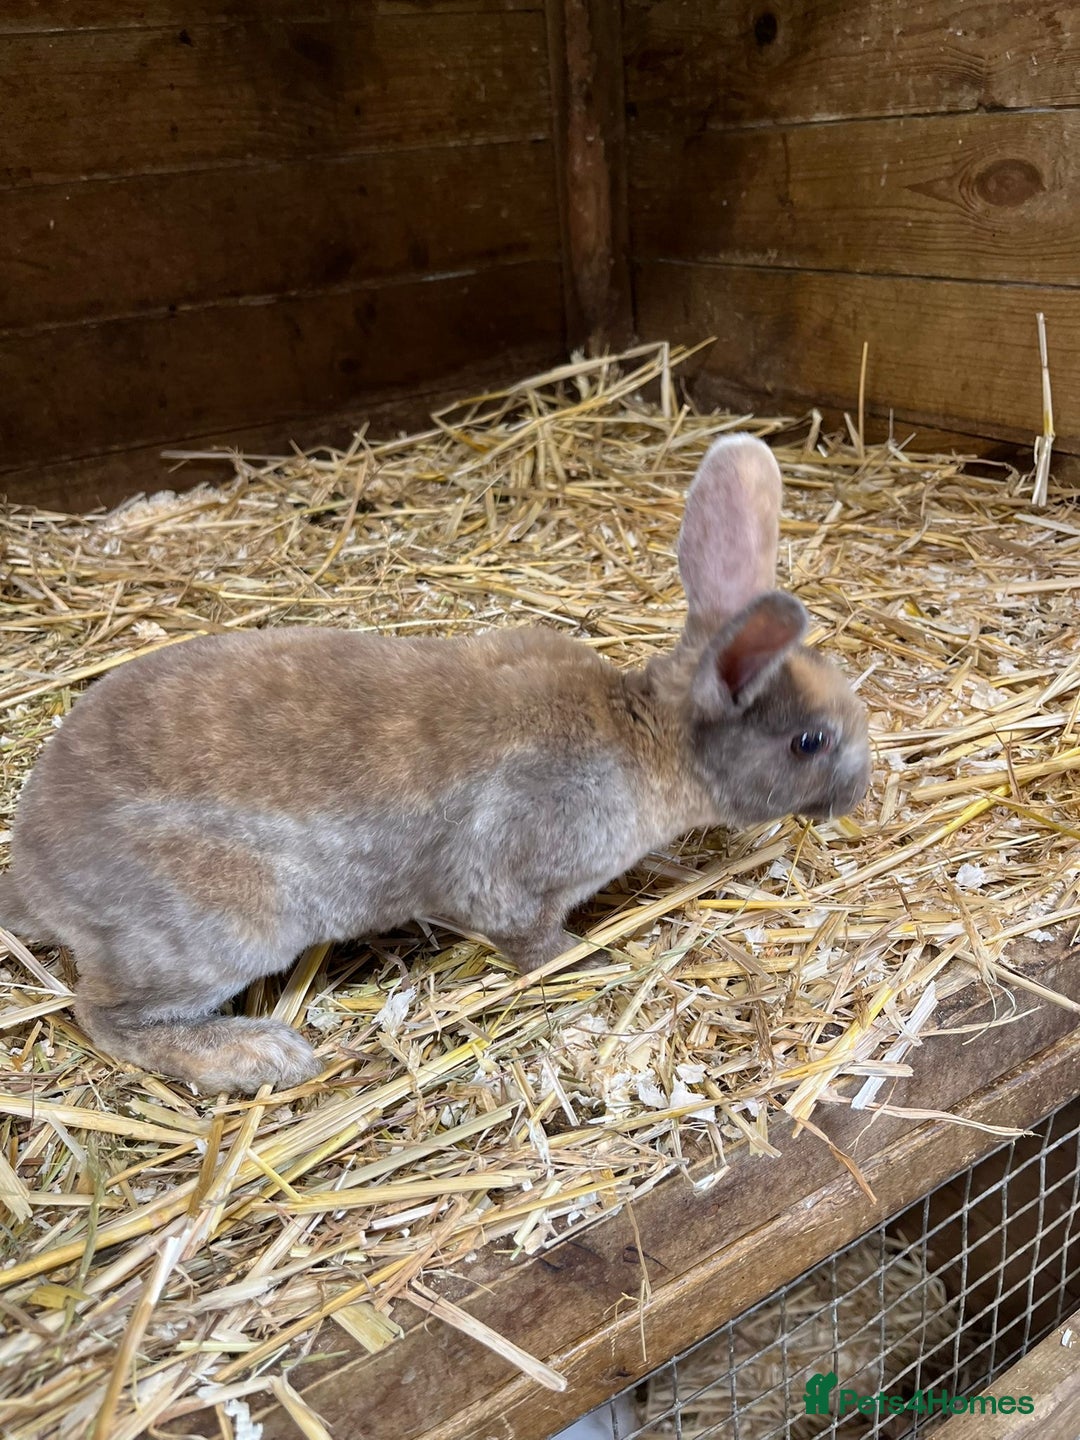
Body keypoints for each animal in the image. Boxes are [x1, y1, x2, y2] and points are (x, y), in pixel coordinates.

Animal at [0, 436, 870, 1094]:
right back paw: (258, 1056)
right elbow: (529, 936)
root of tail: (35, 877)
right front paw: (593, 956)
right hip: (214, 932)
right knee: (105, 1015)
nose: (860, 792)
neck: (648, 734)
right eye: (810, 743)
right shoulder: (512, 875)